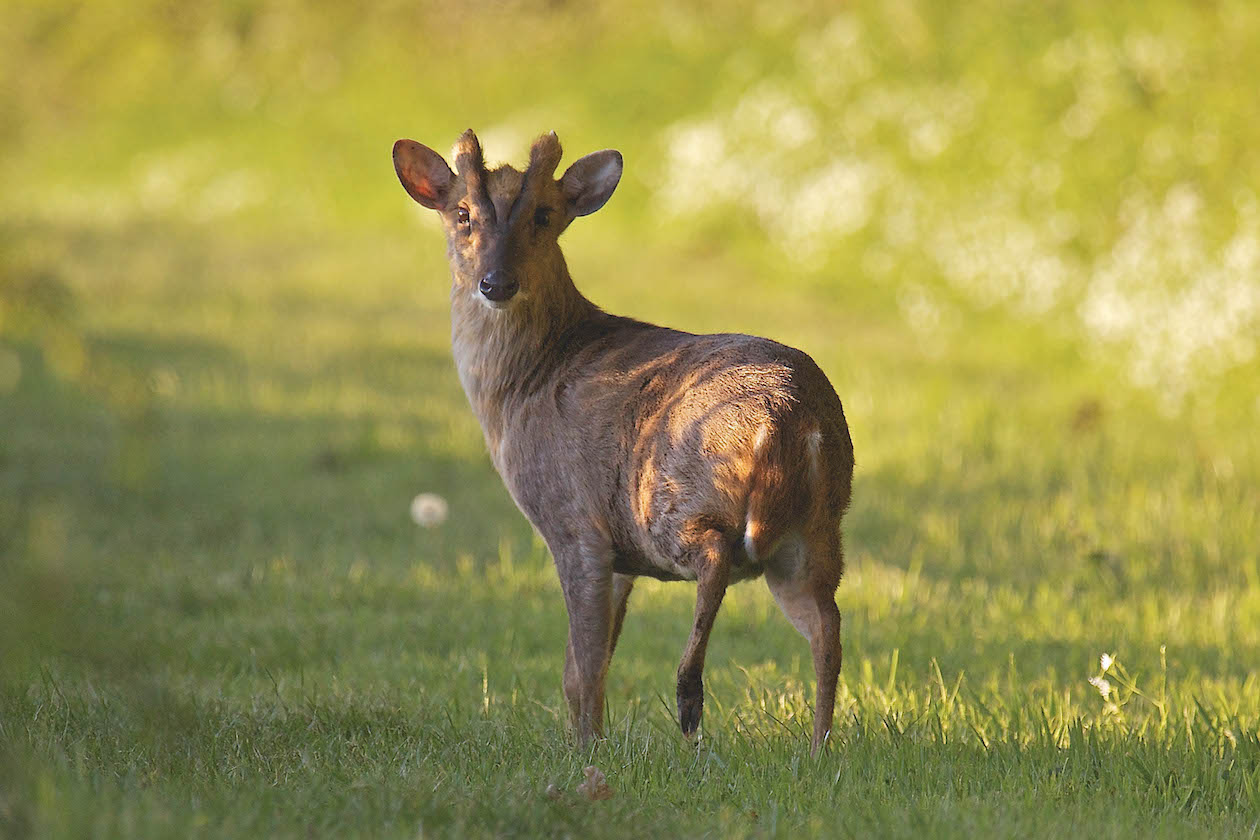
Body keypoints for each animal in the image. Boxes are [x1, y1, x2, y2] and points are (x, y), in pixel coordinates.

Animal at [393, 131, 856, 755]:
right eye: (461, 213)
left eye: (544, 215)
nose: (496, 283)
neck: (523, 383)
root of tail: (788, 416)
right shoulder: (619, 561)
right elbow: (587, 665)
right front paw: (588, 738)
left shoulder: (574, 522)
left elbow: (583, 665)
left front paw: (585, 749)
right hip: (816, 529)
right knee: (827, 628)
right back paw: (817, 749)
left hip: (669, 499)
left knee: (716, 555)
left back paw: (689, 699)